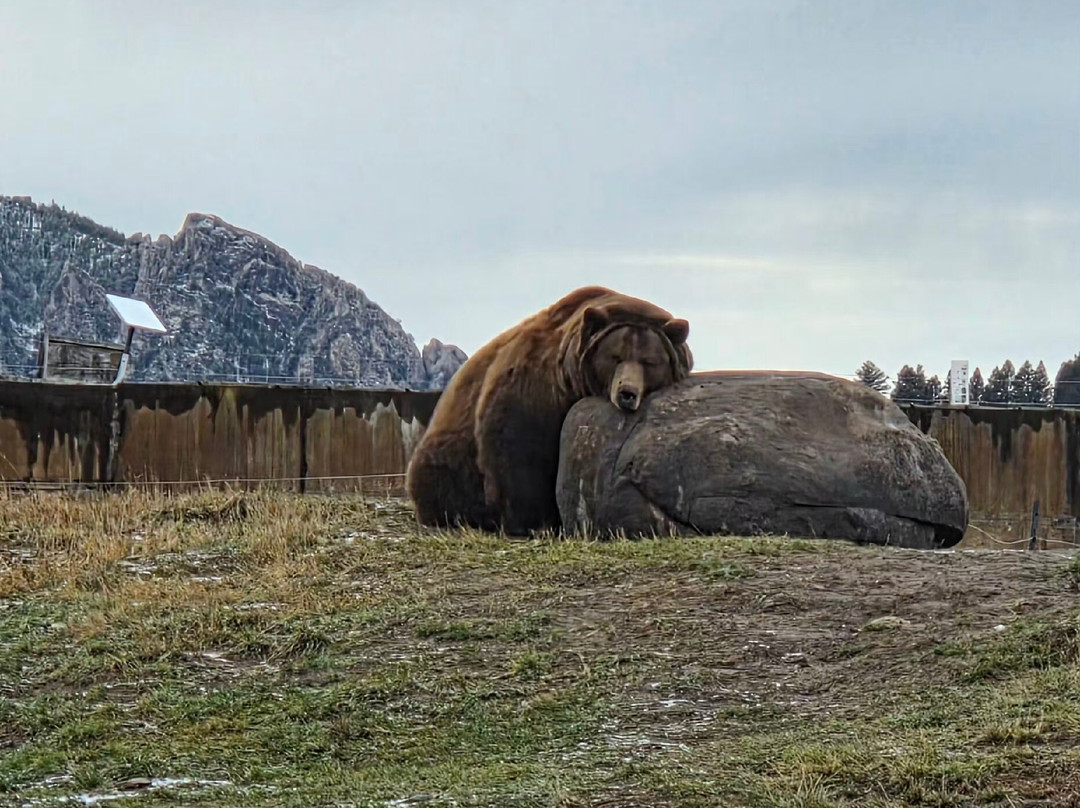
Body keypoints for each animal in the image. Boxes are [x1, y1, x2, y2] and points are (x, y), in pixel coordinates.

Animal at [405, 286, 693, 536]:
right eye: (615, 357)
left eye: (649, 361)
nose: (627, 393)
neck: (573, 383)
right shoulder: (533, 392)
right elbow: (519, 451)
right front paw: (534, 523)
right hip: (445, 462)